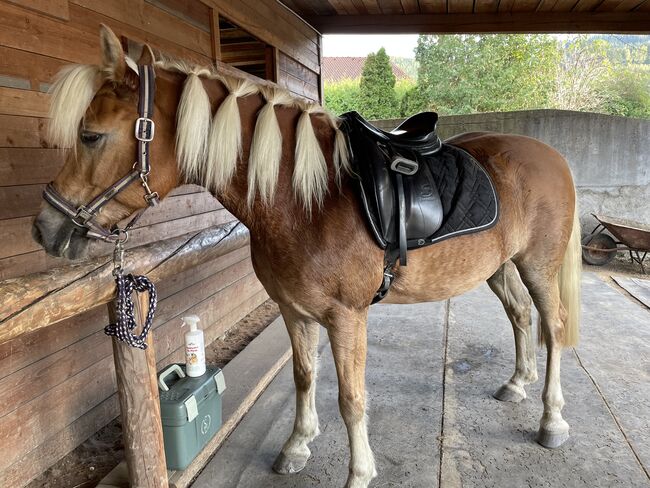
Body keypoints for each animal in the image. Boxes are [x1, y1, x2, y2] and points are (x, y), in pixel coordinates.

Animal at [32, 26, 581, 488]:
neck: (305, 201)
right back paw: (517, 384)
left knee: (552, 326)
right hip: (500, 267)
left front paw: (359, 474)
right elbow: (304, 377)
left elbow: (351, 399)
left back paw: (552, 420)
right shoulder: (294, 310)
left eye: (91, 135)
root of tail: (553, 156)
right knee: (521, 315)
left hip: (537, 265)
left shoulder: (346, 317)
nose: (44, 229)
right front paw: (297, 446)